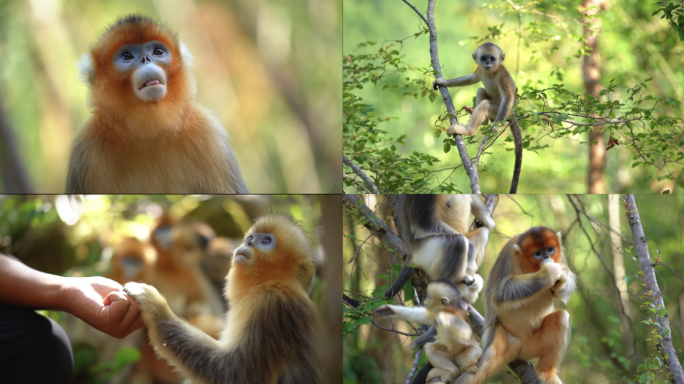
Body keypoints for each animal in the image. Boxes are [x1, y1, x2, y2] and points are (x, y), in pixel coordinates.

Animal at [65, 15, 247, 194]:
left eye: (158, 52)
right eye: (126, 56)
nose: (146, 60)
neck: (150, 133)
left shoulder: (209, 138)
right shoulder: (87, 149)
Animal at [123, 216, 320, 384]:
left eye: (266, 241)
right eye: (250, 238)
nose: (248, 243)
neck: (273, 284)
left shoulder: (269, 306)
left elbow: (233, 373)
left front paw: (154, 305)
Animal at [456, 226, 576, 384]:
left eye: (550, 250)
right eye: (538, 253)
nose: (546, 257)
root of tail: (517, 343)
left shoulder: (560, 257)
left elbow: (562, 293)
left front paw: (562, 276)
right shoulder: (509, 253)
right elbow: (500, 292)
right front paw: (546, 274)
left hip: (530, 347)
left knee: (562, 318)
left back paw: (546, 372)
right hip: (499, 334)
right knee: (490, 354)